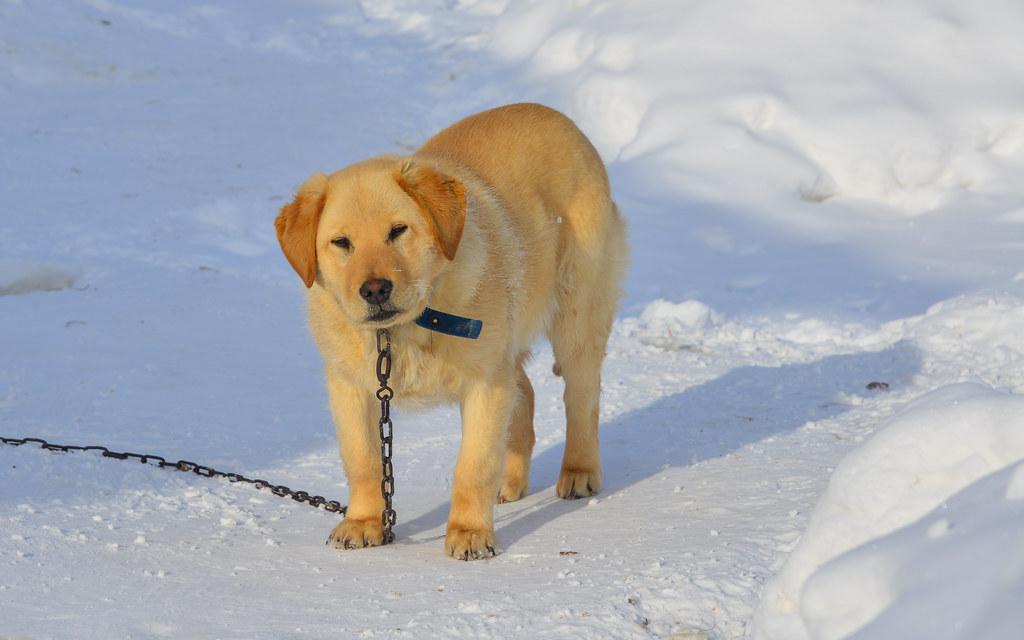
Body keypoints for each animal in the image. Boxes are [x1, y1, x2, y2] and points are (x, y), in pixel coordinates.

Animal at [272, 102, 622, 557]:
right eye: (341, 242)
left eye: (398, 230)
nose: (375, 289)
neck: (404, 329)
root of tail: (559, 117)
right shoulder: (349, 385)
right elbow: (363, 459)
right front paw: (364, 522)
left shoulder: (484, 383)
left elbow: (474, 464)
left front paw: (470, 532)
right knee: (524, 392)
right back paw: (510, 482)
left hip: (576, 313)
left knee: (581, 397)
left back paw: (579, 472)